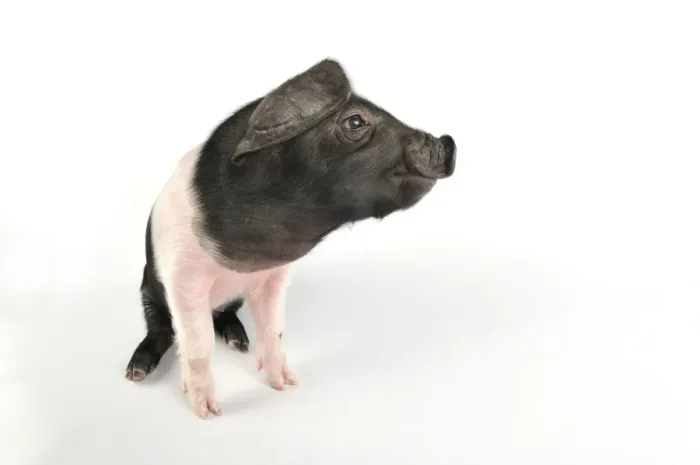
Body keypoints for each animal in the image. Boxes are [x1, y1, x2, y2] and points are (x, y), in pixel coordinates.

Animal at [124, 58, 457, 418]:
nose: (448, 141)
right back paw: (135, 372)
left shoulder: (274, 276)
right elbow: (198, 341)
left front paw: (286, 384)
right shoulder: (183, 277)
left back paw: (239, 342)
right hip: (148, 287)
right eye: (355, 121)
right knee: (160, 326)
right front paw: (209, 413)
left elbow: (273, 329)